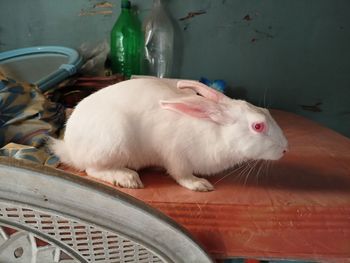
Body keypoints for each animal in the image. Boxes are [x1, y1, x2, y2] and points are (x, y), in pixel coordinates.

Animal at [51, 78, 288, 192]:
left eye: (267, 112)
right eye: (258, 126)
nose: (285, 149)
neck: (216, 132)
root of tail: (69, 147)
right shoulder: (176, 155)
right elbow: (181, 175)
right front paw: (199, 185)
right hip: (113, 140)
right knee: (92, 169)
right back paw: (127, 178)